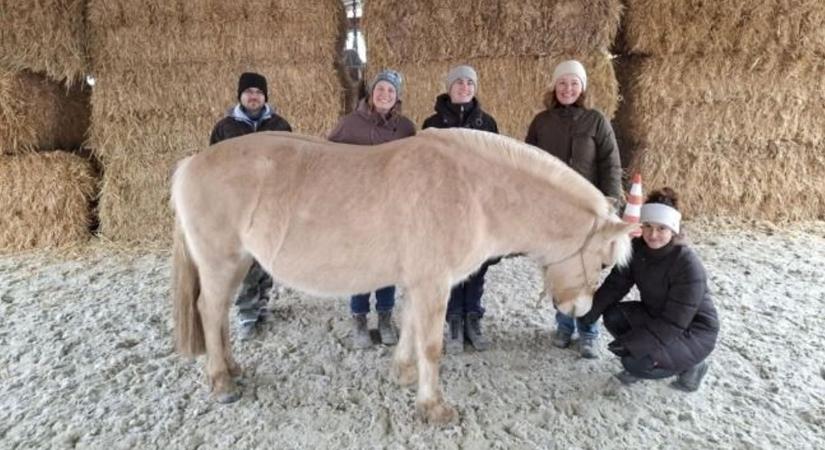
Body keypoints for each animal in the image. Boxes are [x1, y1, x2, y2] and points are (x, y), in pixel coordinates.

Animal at [169, 128, 636, 424]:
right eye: (604, 263)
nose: (578, 309)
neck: (473, 190)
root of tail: (190, 164)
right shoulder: (433, 283)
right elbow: (431, 345)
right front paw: (434, 408)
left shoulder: (420, 281)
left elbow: (410, 328)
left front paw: (405, 374)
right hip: (221, 262)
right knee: (209, 311)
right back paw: (221, 381)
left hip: (237, 264)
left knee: (218, 316)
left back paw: (232, 368)